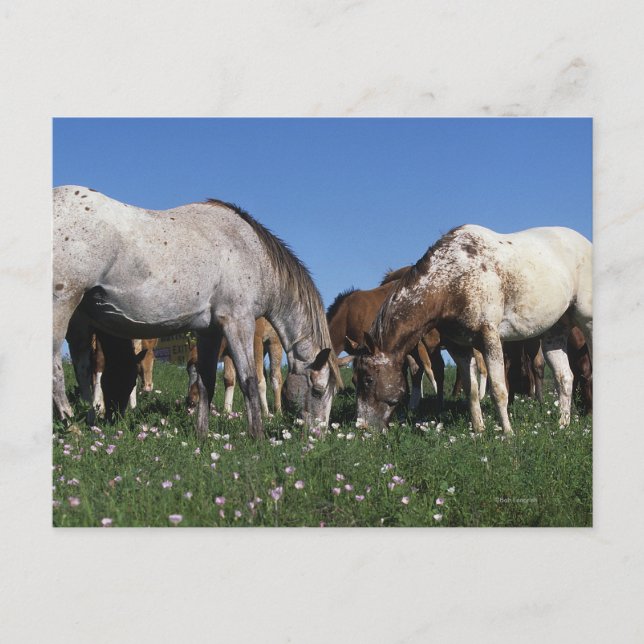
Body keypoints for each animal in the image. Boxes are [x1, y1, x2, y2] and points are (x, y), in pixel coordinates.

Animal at [52, 186, 340, 438]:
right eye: (317, 390)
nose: (319, 434)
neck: (251, 251)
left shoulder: (209, 331)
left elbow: (205, 383)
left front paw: (202, 435)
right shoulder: (239, 322)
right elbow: (249, 381)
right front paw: (257, 436)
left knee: (81, 367)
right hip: (62, 307)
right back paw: (72, 426)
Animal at [352, 225, 592, 434]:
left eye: (368, 379)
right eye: (355, 380)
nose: (362, 427)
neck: (452, 280)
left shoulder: (490, 338)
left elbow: (499, 390)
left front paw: (508, 434)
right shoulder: (459, 347)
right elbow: (472, 391)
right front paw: (479, 430)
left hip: (587, 323)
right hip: (554, 333)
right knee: (565, 378)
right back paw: (563, 425)